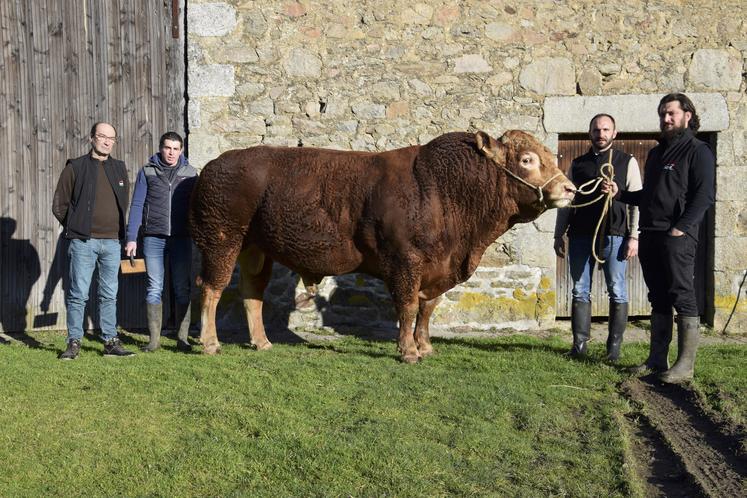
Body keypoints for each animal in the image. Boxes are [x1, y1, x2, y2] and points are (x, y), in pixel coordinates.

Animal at [189, 130, 576, 362]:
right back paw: (210, 343)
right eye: (527, 159)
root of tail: (214, 164)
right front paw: (408, 351)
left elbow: (427, 309)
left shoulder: (436, 269)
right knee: (211, 288)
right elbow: (407, 306)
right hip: (222, 239)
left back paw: (262, 342)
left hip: (256, 248)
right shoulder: (406, 261)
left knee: (251, 292)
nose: (570, 189)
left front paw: (426, 346)